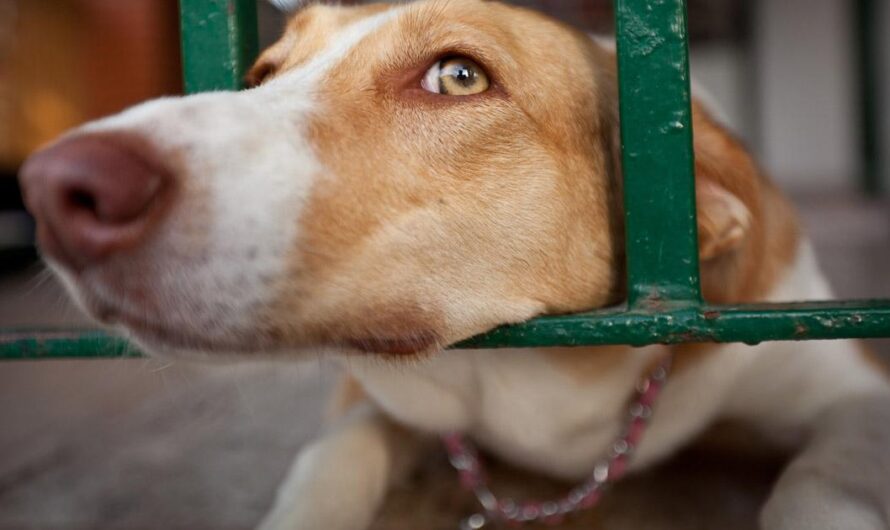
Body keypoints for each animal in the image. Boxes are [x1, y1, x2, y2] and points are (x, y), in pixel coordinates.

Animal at [17, 1, 888, 528]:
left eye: (459, 75)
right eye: (262, 76)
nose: (54, 189)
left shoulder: (846, 383)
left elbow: (822, 482)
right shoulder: (375, 398)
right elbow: (329, 456)